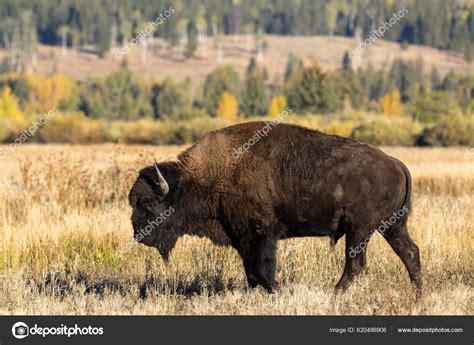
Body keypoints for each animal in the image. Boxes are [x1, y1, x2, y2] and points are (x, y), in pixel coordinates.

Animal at [129, 122, 422, 294]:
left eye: (149, 203)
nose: (138, 235)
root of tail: (396, 164)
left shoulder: (259, 234)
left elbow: (261, 267)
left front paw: (273, 290)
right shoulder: (241, 236)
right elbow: (250, 269)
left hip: (359, 229)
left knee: (356, 263)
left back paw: (334, 294)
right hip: (390, 227)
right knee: (409, 252)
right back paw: (418, 294)